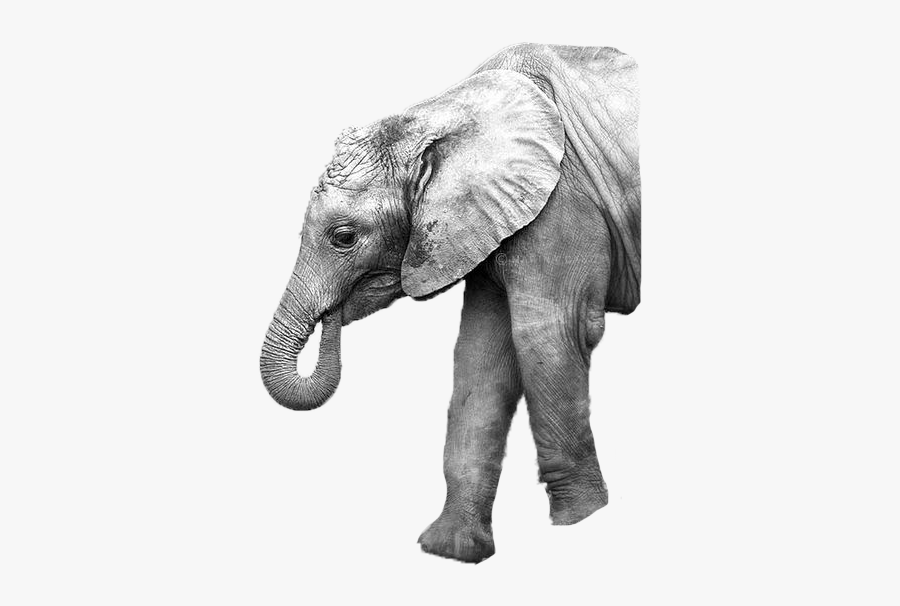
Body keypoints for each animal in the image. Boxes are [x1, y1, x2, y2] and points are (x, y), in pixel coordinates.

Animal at [260, 43, 640, 563]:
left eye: (344, 237)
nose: (333, 315)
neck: (437, 114)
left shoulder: (562, 202)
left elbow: (551, 335)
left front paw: (580, 525)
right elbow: (481, 354)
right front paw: (450, 551)